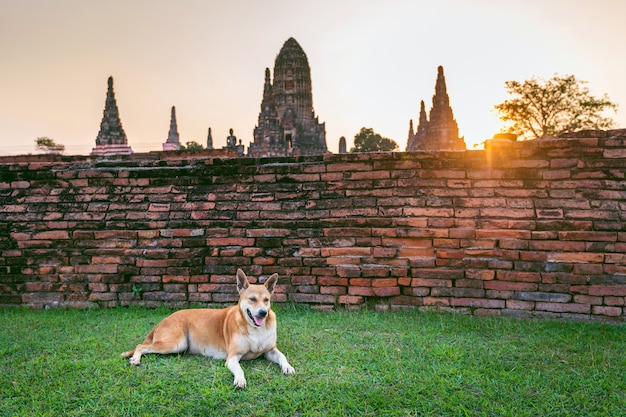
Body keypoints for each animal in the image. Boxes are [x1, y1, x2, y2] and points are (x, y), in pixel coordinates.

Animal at [123, 268, 296, 388]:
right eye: (252, 299)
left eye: (266, 300)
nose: (263, 312)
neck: (255, 328)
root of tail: (164, 319)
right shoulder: (232, 357)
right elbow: (239, 369)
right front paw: (240, 379)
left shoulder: (270, 350)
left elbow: (282, 356)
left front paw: (288, 367)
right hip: (176, 344)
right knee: (140, 345)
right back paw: (136, 359)